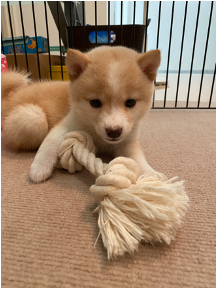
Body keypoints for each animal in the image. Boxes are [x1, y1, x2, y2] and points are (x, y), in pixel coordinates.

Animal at [29, 46, 159, 183]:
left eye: (131, 102)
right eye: (95, 102)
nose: (114, 131)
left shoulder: (127, 142)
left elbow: (138, 159)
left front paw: (151, 174)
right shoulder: (68, 124)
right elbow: (50, 143)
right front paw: (39, 167)